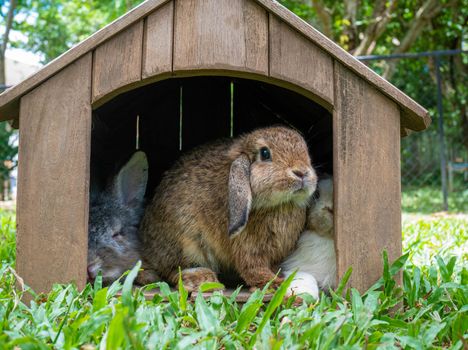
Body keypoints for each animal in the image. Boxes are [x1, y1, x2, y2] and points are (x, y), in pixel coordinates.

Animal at [140, 126, 318, 290]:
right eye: (265, 153)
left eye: (306, 152)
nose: (301, 172)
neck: (281, 204)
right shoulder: (247, 249)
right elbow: (253, 269)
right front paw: (275, 284)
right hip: (187, 241)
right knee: (173, 271)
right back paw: (201, 278)